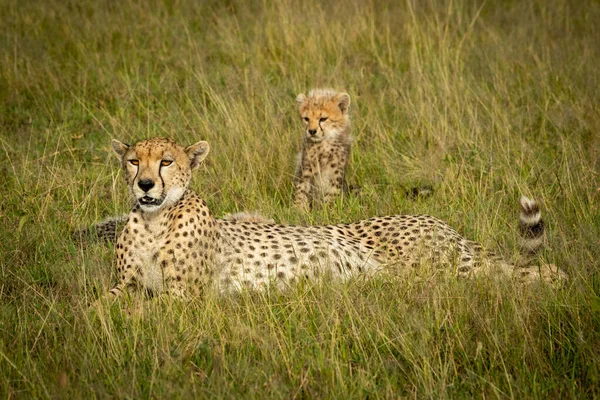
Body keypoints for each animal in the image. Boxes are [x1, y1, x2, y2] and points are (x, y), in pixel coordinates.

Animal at [104, 138, 568, 300]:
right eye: (133, 160)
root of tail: (437, 220)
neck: (155, 222)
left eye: (166, 161)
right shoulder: (124, 284)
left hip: (447, 266)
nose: (145, 184)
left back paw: (557, 284)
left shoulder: (185, 297)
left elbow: (144, 312)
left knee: (527, 271)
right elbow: (102, 306)